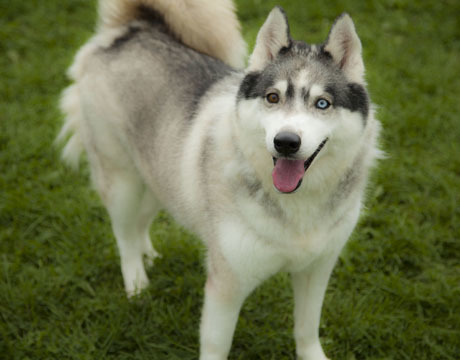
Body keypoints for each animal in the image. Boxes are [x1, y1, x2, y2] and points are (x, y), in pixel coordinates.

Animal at [57, 1, 380, 358]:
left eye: (322, 103)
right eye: (272, 98)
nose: (285, 142)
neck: (297, 203)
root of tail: (131, 30)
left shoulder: (317, 268)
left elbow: (307, 329)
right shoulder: (226, 284)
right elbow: (217, 344)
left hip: (162, 173)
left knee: (142, 220)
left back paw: (148, 254)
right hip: (122, 180)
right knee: (124, 235)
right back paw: (137, 282)